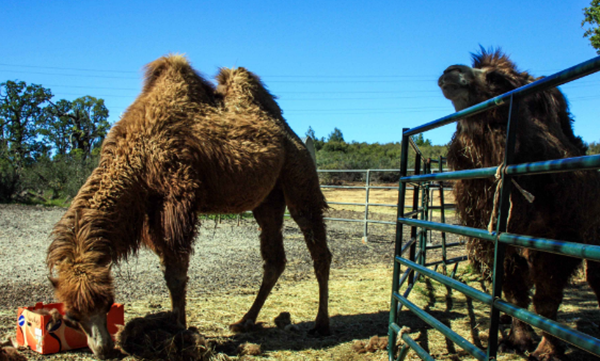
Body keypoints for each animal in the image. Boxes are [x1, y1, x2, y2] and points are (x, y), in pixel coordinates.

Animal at [47, 54, 332, 358]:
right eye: (70, 318)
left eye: (108, 303)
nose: (103, 349)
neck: (137, 158)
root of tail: (292, 133)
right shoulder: (152, 213)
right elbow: (168, 271)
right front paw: (176, 327)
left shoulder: (177, 199)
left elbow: (176, 274)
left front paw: (179, 330)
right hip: (268, 199)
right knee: (274, 258)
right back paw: (244, 321)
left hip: (299, 172)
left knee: (317, 245)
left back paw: (321, 324)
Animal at [438, 48, 600, 360]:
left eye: (497, 79)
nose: (450, 71)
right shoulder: (497, 241)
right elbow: (514, 293)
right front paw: (517, 340)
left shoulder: (557, 241)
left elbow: (546, 301)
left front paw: (547, 350)